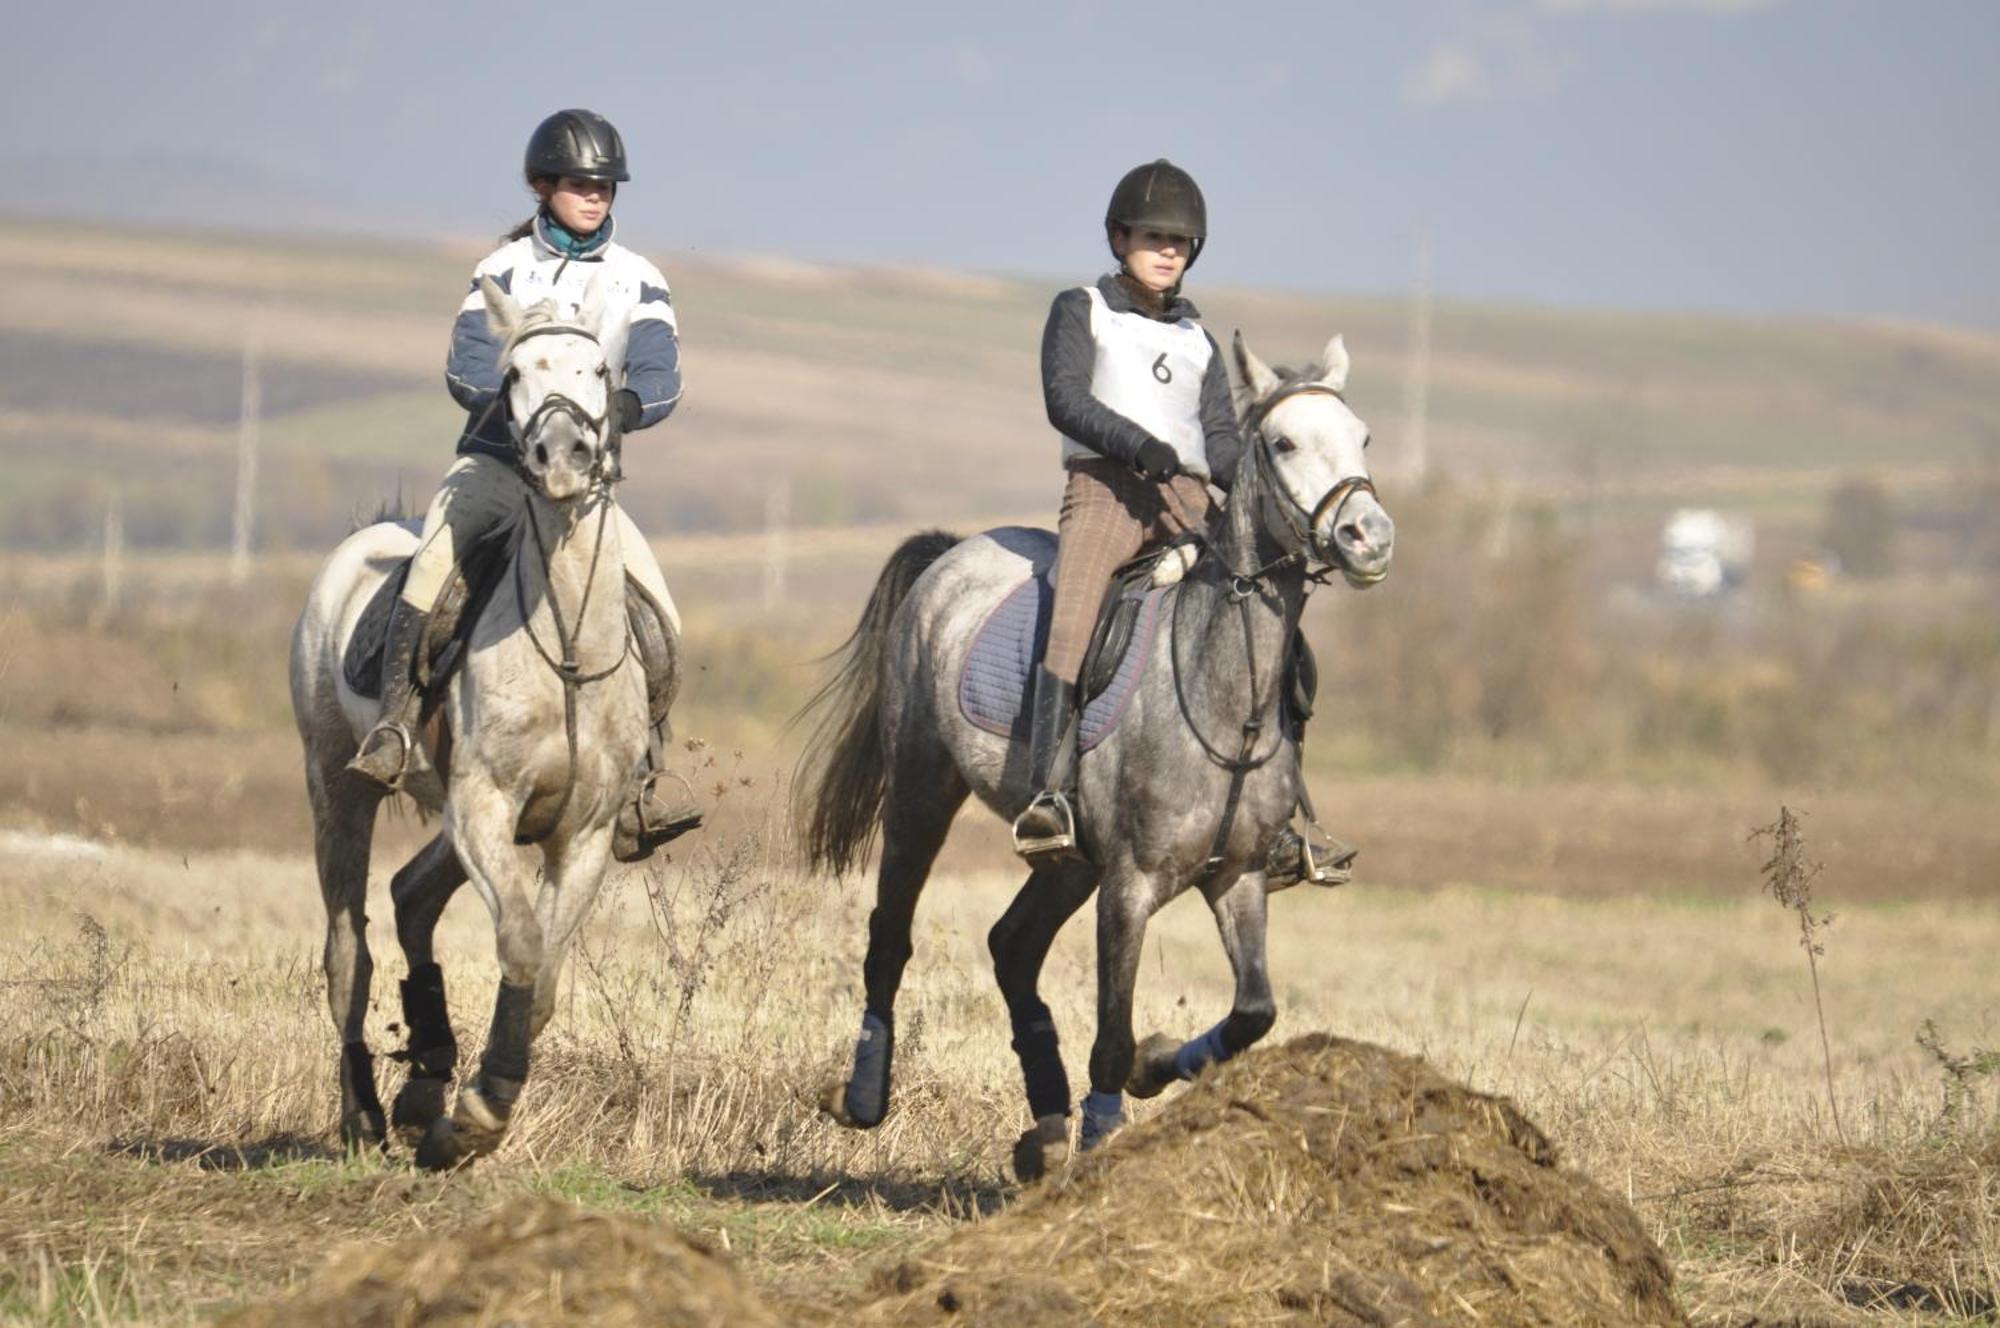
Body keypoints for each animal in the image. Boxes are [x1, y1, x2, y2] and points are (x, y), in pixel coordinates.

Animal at [292, 274, 648, 1168]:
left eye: (600, 370)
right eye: (514, 373)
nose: (563, 458)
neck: (565, 642)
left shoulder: (583, 832)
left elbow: (545, 977)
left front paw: (459, 1108)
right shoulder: (485, 805)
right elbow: (519, 943)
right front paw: (481, 1113)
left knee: (412, 897)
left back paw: (425, 1079)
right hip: (336, 788)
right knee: (346, 951)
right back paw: (364, 1114)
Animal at [792, 330, 1392, 1176]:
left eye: (1362, 437)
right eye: (1282, 443)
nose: (1369, 536)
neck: (1219, 694)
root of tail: (953, 555)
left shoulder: (1238, 877)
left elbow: (1253, 1013)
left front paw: (1156, 1063)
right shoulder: (1130, 887)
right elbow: (1110, 1038)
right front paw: (1110, 1133)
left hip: (1069, 860)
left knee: (1012, 947)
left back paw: (1042, 1130)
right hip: (921, 795)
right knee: (890, 938)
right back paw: (864, 1097)